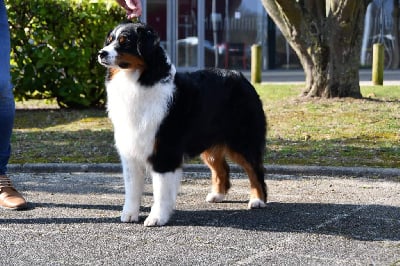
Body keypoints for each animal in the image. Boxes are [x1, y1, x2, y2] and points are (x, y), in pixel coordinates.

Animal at [97, 21, 268, 227]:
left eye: (125, 42)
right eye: (109, 40)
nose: (101, 53)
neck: (136, 80)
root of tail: (241, 77)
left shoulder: (164, 151)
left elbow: (160, 191)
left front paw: (157, 218)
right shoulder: (131, 150)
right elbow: (132, 188)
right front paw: (129, 214)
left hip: (243, 141)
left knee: (255, 169)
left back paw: (258, 200)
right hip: (208, 143)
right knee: (222, 168)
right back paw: (217, 195)